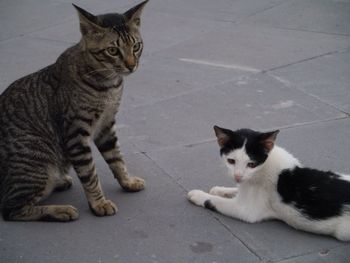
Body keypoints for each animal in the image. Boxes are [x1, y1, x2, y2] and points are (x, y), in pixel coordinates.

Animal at [0, 0, 148, 223]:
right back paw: (61, 210)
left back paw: (59, 182)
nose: (131, 66)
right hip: (36, 157)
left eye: (136, 46)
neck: (109, 86)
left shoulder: (106, 125)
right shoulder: (76, 133)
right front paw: (99, 203)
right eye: (113, 51)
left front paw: (127, 181)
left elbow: (117, 158)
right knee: (11, 209)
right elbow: (90, 174)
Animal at [187, 127, 350, 242]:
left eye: (251, 164)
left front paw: (198, 195)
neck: (263, 168)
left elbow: (215, 201)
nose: (238, 176)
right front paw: (219, 189)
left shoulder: (247, 211)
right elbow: (235, 190)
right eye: (231, 161)